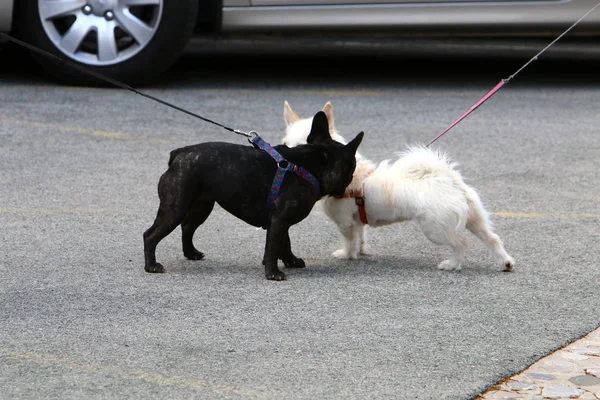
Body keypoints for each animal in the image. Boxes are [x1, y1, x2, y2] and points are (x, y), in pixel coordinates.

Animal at [143, 111, 364, 282]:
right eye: (352, 167)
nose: (351, 181)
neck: (311, 165)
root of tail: (179, 154)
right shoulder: (280, 219)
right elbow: (274, 245)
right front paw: (273, 273)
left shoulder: (280, 221)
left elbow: (285, 242)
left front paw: (291, 261)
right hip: (175, 208)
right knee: (151, 235)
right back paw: (151, 266)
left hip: (201, 206)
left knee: (187, 227)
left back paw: (191, 253)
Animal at [282, 101, 516, 272]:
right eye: (287, 144)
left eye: (304, 147)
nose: (287, 158)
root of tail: (448, 179)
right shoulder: (357, 221)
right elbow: (360, 237)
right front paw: (361, 251)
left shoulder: (344, 223)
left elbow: (349, 241)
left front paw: (347, 255)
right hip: (475, 219)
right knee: (492, 238)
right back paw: (505, 262)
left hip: (435, 229)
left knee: (461, 244)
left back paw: (452, 265)